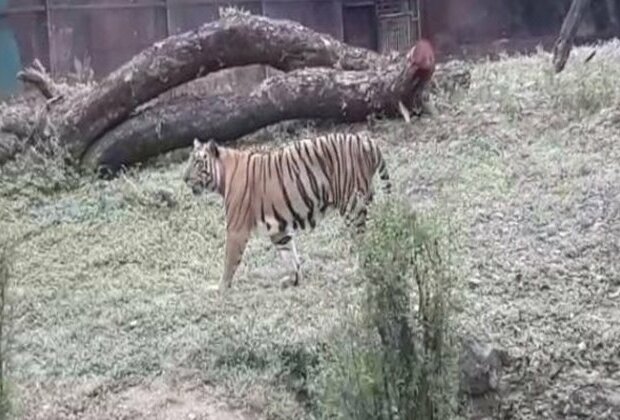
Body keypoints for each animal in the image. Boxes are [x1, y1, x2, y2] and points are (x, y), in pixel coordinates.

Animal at [182, 131, 390, 292]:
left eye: (198, 163)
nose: (184, 178)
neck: (223, 177)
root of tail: (368, 141)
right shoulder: (278, 229)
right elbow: (288, 253)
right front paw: (293, 279)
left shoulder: (236, 229)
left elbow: (229, 260)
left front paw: (220, 288)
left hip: (352, 206)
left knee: (362, 240)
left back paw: (357, 269)